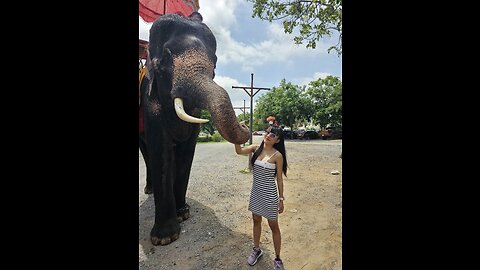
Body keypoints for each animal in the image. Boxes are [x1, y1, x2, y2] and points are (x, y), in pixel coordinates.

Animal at [139, 11, 249, 246]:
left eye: (215, 62)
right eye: (164, 60)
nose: (245, 123)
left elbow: (187, 149)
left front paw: (183, 214)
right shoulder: (149, 101)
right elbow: (161, 149)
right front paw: (164, 238)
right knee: (147, 152)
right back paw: (150, 190)